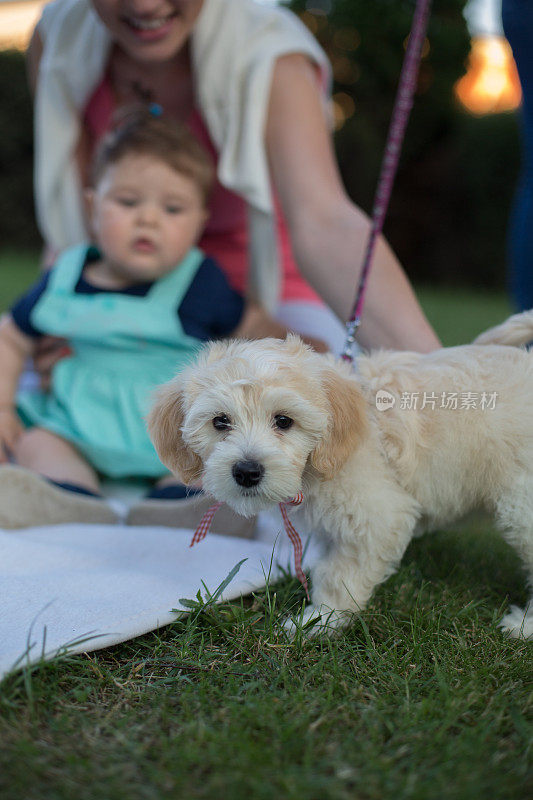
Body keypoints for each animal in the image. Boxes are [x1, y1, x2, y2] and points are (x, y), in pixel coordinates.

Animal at [148, 312, 532, 636]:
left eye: (283, 421)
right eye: (220, 422)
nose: (246, 471)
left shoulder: (376, 518)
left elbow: (338, 573)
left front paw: (318, 621)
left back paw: (523, 626)